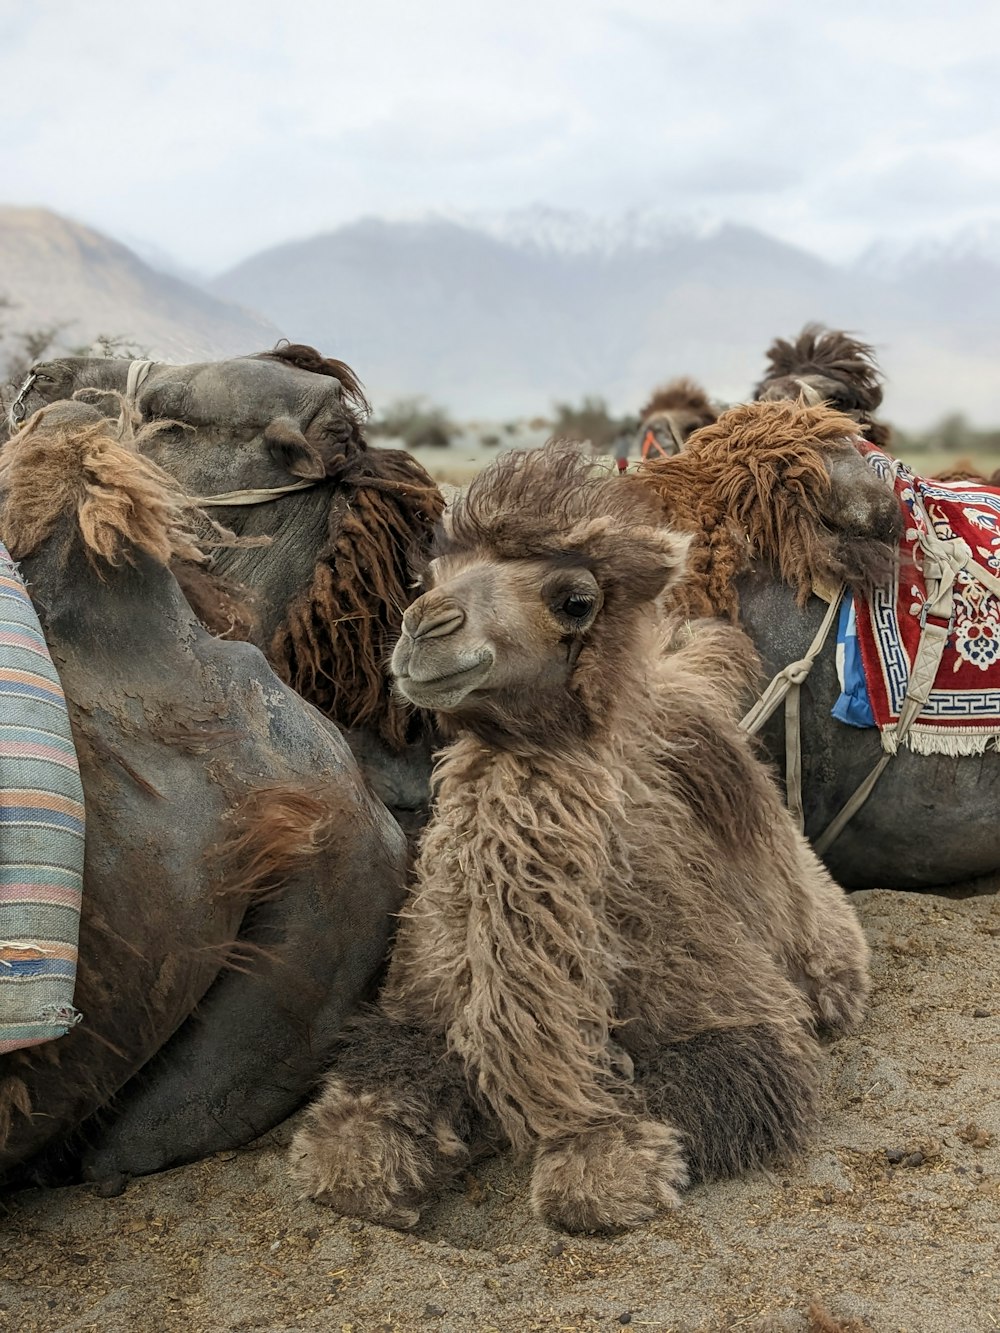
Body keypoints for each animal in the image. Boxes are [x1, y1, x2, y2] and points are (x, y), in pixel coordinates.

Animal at [289, 442, 869, 1231]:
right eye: (426, 578)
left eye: (575, 600)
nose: (424, 628)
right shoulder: (415, 1002)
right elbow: (363, 1119)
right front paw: (366, 1158)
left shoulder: (741, 1016)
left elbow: (668, 1101)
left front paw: (603, 1160)